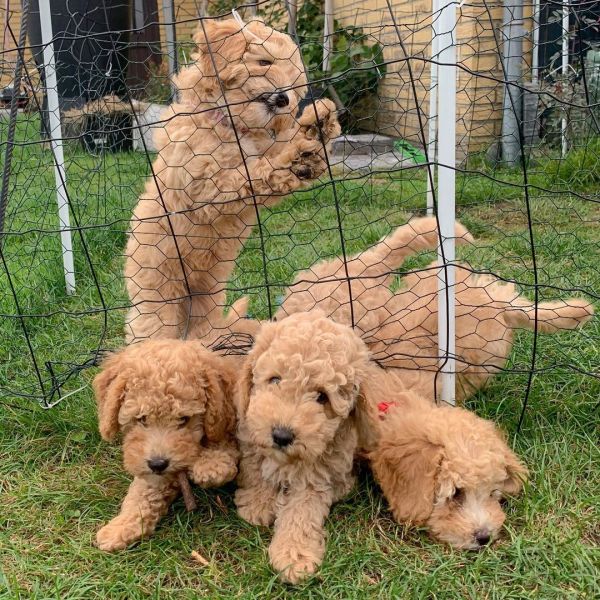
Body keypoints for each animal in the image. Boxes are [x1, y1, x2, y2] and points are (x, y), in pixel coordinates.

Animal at [92, 340, 238, 552]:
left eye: (184, 419)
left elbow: (223, 441)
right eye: (142, 419)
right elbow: (144, 492)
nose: (158, 464)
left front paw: (211, 465)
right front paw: (122, 526)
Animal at [124, 17, 340, 342]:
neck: (233, 125)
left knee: (201, 329)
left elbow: (277, 153)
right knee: (150, 326)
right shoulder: (207, 186)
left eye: (294, 84)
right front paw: (297, 156)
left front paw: (318, 128)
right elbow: (254, 174)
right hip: (159, 291)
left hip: (206, 297)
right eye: (264, 62)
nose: (284, 98)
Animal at [233, 312, 376, 584]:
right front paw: (258, 503)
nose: (281, 435)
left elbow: (300, 514)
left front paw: (294, 556)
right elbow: (257, 470)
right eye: (275, 379)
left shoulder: (315, 478)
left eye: (322, 397)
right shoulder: (252, 436)